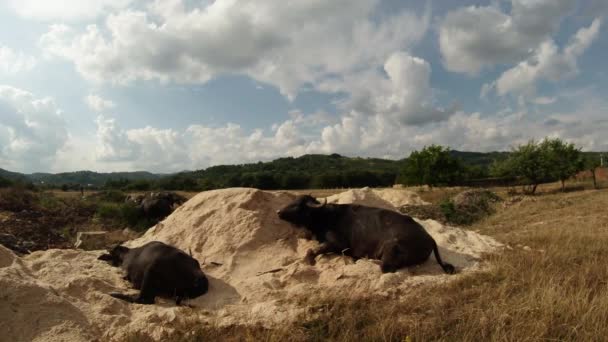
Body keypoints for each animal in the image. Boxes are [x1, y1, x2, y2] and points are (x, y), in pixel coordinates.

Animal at [278, 196, 454, 274]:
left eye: (298, 206)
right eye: (292, 202)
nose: (278, 211)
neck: (325, 216)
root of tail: (430, 238)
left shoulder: (338, 244)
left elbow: (313, 250)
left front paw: (308, 260)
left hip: (391, 248)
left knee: (386, 267)